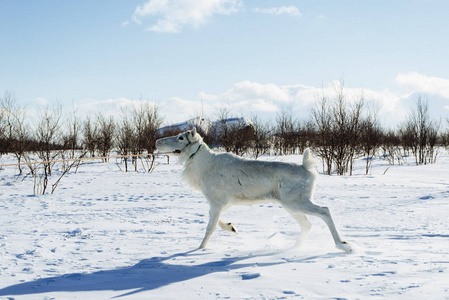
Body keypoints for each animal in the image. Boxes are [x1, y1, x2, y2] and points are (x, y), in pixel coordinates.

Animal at [156, 127, 352, 252]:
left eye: (181, 138)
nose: (157, 141)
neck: (201, 166)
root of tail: (308, 169)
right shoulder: (223, 202)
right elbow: (216, 221)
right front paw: (231, 227)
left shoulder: (217, 201)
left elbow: (210, 227)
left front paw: (199, 249)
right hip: (289, 205)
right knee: (307, 224)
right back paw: (295, 247)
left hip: (297, 202)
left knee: (324, 210)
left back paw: (343, 244)